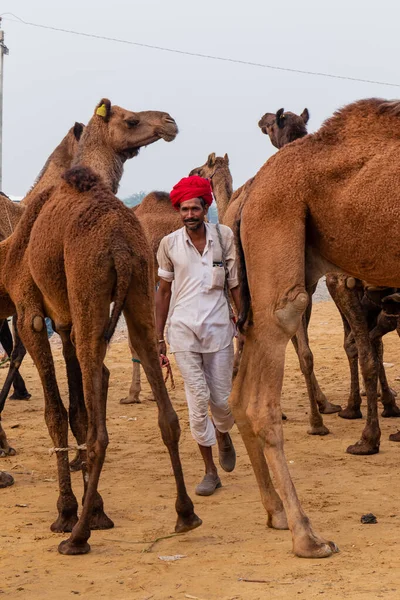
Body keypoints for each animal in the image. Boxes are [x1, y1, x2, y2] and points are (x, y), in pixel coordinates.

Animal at [233, 96, 400, 560]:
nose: (262, 119)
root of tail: (250, 191)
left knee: (237, 395)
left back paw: (275, 512)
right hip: (278, 226)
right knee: (261, 398)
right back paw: (306, 536)